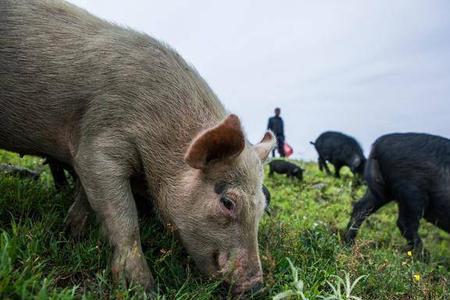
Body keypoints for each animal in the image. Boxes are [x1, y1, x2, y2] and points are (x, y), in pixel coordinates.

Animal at [0, 0, 276, 296]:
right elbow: (123, 215)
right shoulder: (100, 142)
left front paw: (72, 233)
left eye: (263, 204)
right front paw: (143, 289)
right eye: (227, 202)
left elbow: (86, 199)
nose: (255, 287)